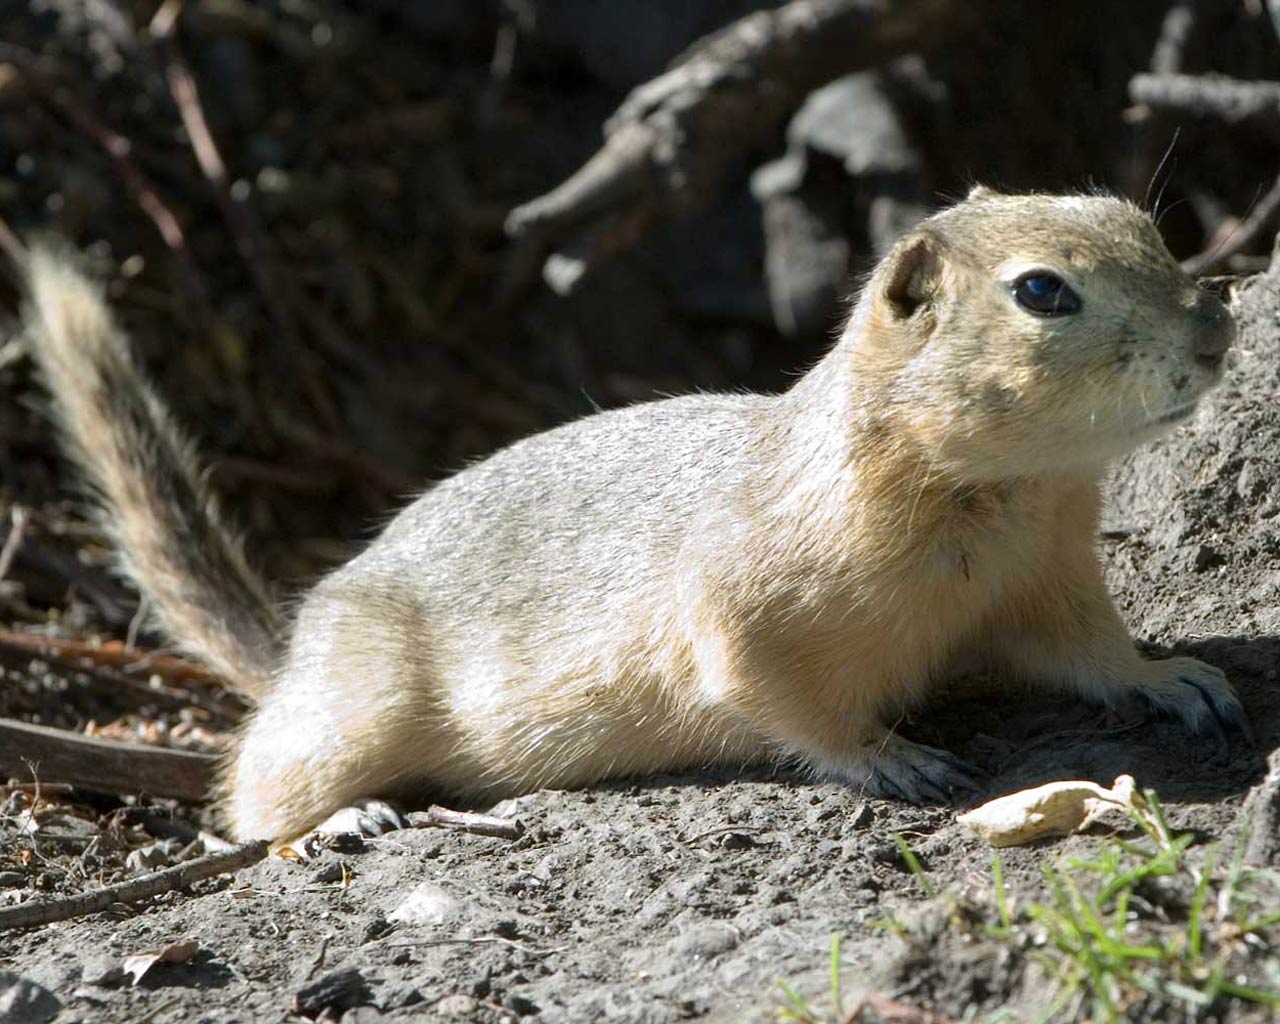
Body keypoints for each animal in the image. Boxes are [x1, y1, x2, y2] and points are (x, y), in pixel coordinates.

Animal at [22, 185, 1249, 839]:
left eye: (1137, 218)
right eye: (1041, 291)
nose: (1215, 327)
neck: (1004, 495)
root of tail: (291, 647)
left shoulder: (1047, 581)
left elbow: (1089, 654)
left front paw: (1170, 678)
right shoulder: (746, 606)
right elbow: (772, 693)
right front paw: (886, 757)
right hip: (352, 712)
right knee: (250, 787)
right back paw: (339, 820)